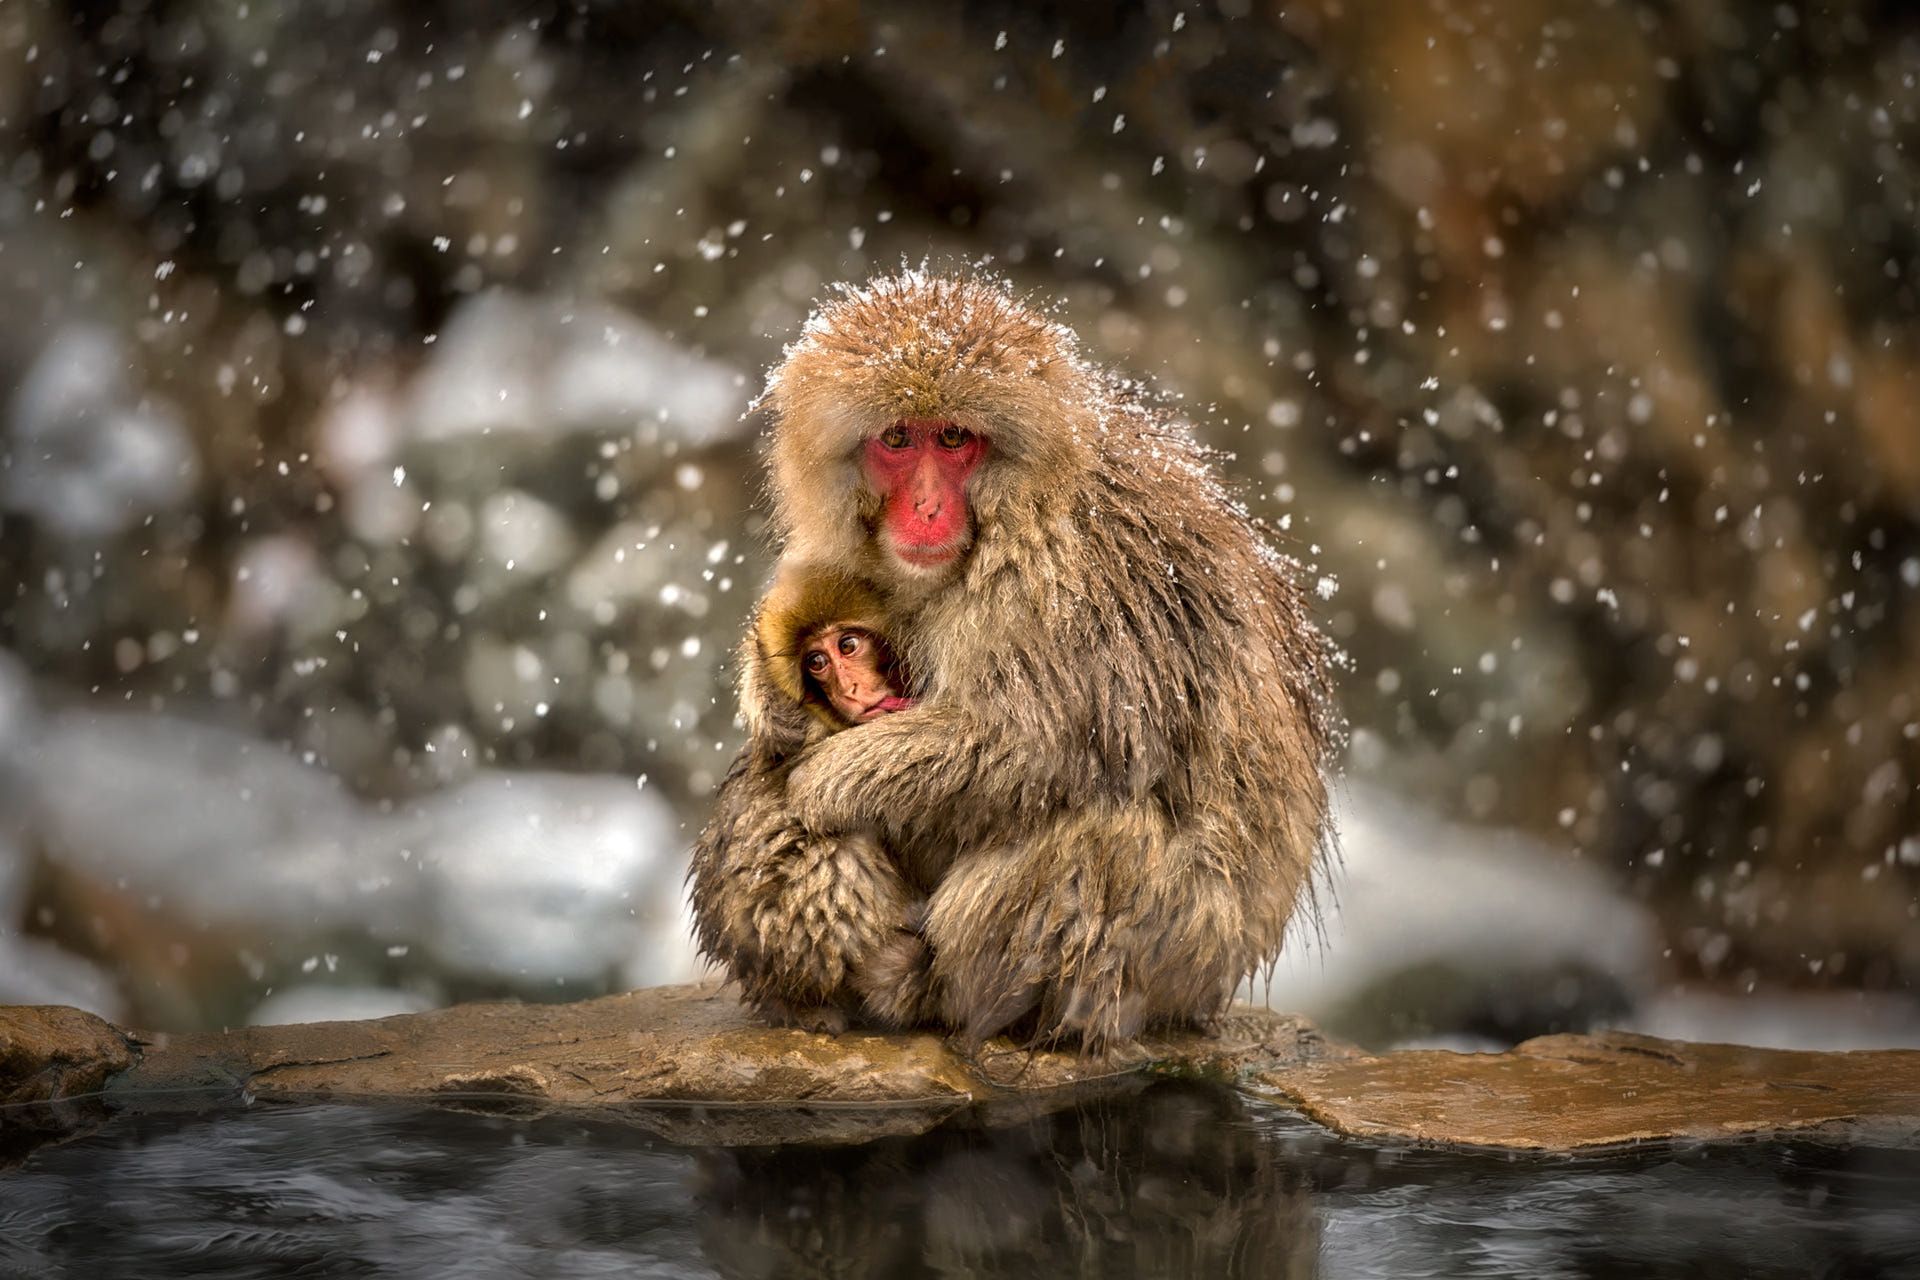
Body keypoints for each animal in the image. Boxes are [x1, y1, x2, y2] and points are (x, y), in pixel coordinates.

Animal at [692, 270, 1338, 1052]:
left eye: (954, 438)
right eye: (897, 439)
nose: (927, 508)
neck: (1018, 512)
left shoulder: (1066, 584)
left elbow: (1031, 743)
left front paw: (823, 781)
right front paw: (770, 699)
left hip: (1177, 950)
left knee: (1101, 838)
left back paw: (930, 991)